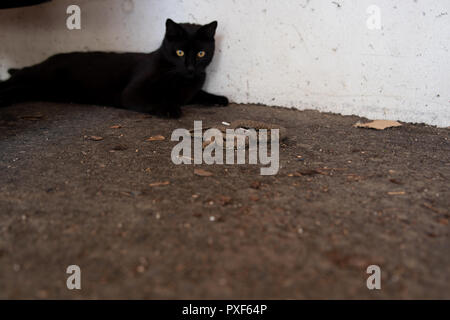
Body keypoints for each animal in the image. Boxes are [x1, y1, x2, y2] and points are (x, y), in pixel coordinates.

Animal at [0, 18, 229, 117]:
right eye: (180, 53)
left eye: (201, 54)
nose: (190, 68)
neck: (181, 79)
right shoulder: (133, 93)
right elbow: (155, 100)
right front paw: (169, 108)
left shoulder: (191, 90)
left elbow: (199, 94)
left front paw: (218, 98)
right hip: (40, 77)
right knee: (14, 78)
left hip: (40, 88)